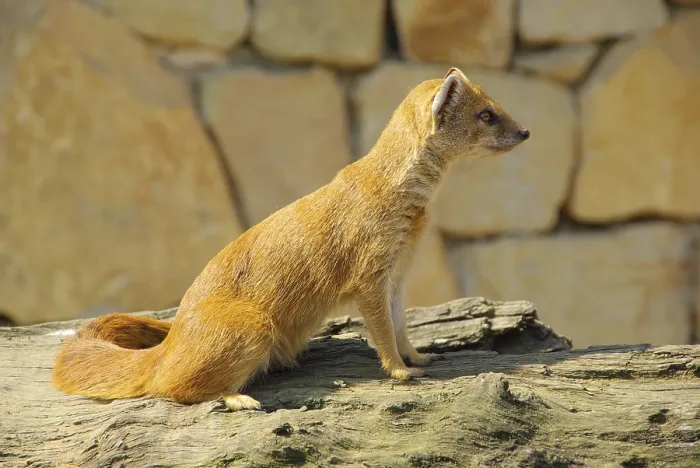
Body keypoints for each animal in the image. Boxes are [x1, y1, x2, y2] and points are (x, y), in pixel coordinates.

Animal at [53, 67, 530, 411]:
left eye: (495, 104)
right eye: (486, 115)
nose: (525, 132)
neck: (405, 204)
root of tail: (170, 343)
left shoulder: (398, 271)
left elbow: (399, 323)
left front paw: (419, 357)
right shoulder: (368, 270)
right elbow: (381, 328)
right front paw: (399, 372)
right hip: (250, 327)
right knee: (173, 386)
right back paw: (239, 398)